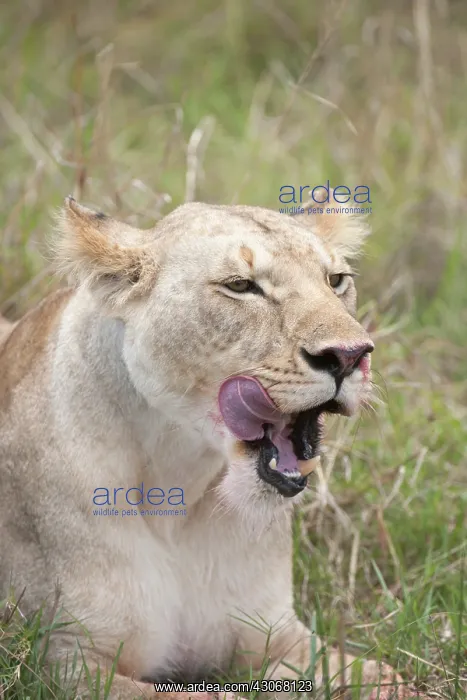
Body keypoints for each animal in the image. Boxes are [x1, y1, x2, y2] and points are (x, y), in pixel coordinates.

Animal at [0, 197, 404, 699]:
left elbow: (388, 679)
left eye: (336, 281)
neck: (180, 482)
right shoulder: (64, 662)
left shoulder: (279, 633)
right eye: (241, 286)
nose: (350, 356)